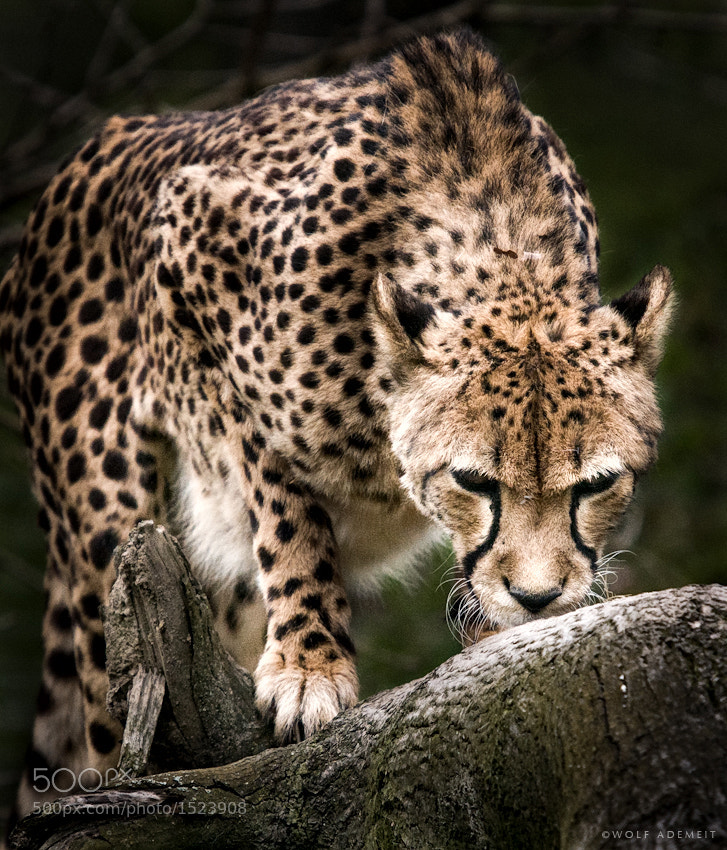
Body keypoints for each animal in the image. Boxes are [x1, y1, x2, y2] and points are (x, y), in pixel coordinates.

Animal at [0, 27, 673, 828]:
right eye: (472, 481)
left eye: (596, 485)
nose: (536, 599)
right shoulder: (193, 252)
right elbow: (286, 507)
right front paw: (309, 664)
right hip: (108, 533)